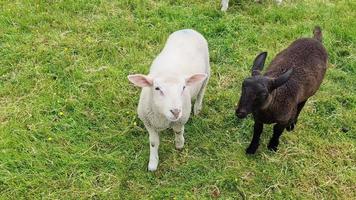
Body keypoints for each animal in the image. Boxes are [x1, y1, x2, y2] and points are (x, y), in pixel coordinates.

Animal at [128, 28, 210, 171]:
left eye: (183, 87)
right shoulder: (148, 122)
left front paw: (179, 144)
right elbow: (153, 142)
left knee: (201, 91)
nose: (176, 111)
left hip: (207, 73)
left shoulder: (181, 119)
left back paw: (197, 108)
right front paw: (153, 163)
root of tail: (187, 29)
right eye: (157, 88)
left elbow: (178, 131)